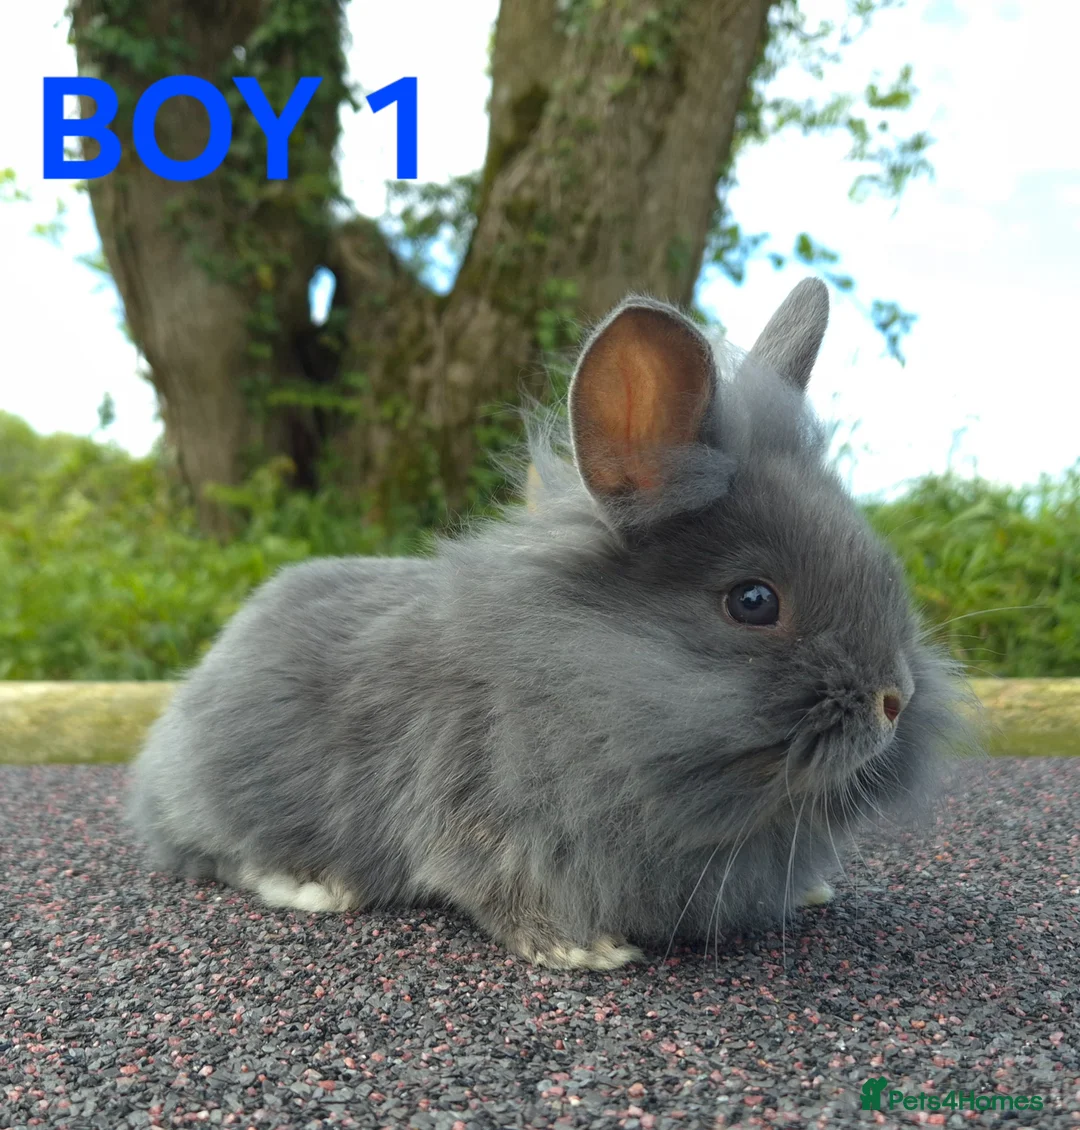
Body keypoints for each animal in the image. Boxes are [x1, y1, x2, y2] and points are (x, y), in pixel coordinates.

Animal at [129, 278, 971, 971]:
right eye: (753, 601)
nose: (894, 700)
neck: (571, 685)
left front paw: (812, 893)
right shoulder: (484, 820)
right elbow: (504, 894)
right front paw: (585, 951)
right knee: (217, 853)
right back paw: (316, 887)